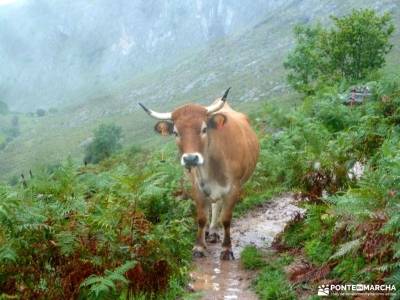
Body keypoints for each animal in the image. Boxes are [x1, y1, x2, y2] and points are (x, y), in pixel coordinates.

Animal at [140, 88, 260, 258]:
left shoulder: (234, 188)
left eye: (204, 129)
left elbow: (226, 218)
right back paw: (213, 233)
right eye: (175, 132)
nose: (190, 158)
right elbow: (202, 218)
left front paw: (226, 249)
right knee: (215, 205)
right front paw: (199, 247)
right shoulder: (197, 187)